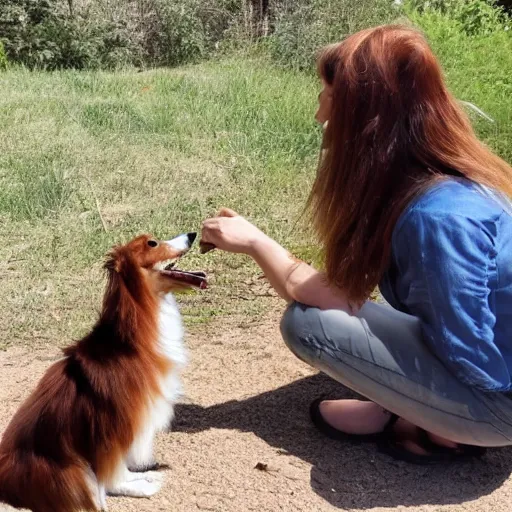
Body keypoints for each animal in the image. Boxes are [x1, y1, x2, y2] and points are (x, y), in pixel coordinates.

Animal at [0, 233, 206, 512]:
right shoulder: (115, 425)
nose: (192, 235)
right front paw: (136, 485)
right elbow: (113, 472)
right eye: (152, 243)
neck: (129, 341)